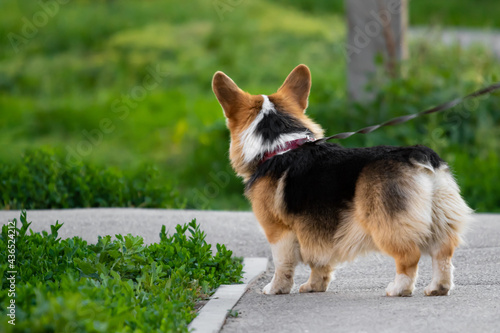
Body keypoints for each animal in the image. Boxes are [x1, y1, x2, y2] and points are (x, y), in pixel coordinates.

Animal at [212, 65, 472, 296]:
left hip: (387, 224)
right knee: (443, 254)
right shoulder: (317, 230)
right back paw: (438, 288)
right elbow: (320, 263)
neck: (279, 146)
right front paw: (314, 286)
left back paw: (398, 289)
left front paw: (276, 289)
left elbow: (282, 265)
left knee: (410, 257)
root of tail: (419, 155)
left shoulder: (278, 231)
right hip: (440, 218)